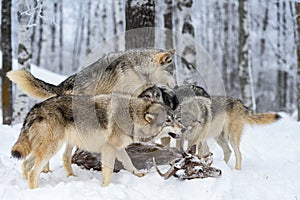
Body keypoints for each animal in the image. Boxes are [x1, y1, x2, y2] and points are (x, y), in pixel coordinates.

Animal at [11, 91, 183, 188]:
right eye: (168, 121)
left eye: (175, 118)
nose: (183, 128)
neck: (133, 117)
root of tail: (35, 108)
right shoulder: (109, 149)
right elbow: (109, 172)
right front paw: (106, 187)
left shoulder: (119, 148)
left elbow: (128, 163)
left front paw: (138, 173)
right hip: (51, 149)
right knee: (33, 173)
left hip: (46, 150)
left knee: (26, 164)